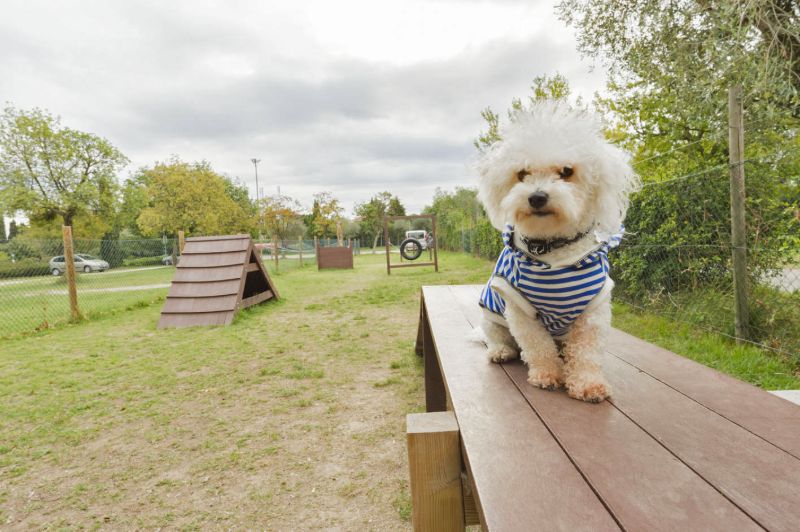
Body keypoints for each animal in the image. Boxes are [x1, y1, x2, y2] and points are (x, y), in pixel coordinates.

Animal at [476, 102, 636, 404]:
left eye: (567, 171)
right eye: (521, 174)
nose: (537, 197)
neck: (552, 248)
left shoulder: (593, 311)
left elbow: (586, 352)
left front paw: (588, 385)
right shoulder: (519, 309)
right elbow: (538, 346)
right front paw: (547, 375)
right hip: (491, 315)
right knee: (498, 338)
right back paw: (501, 351)